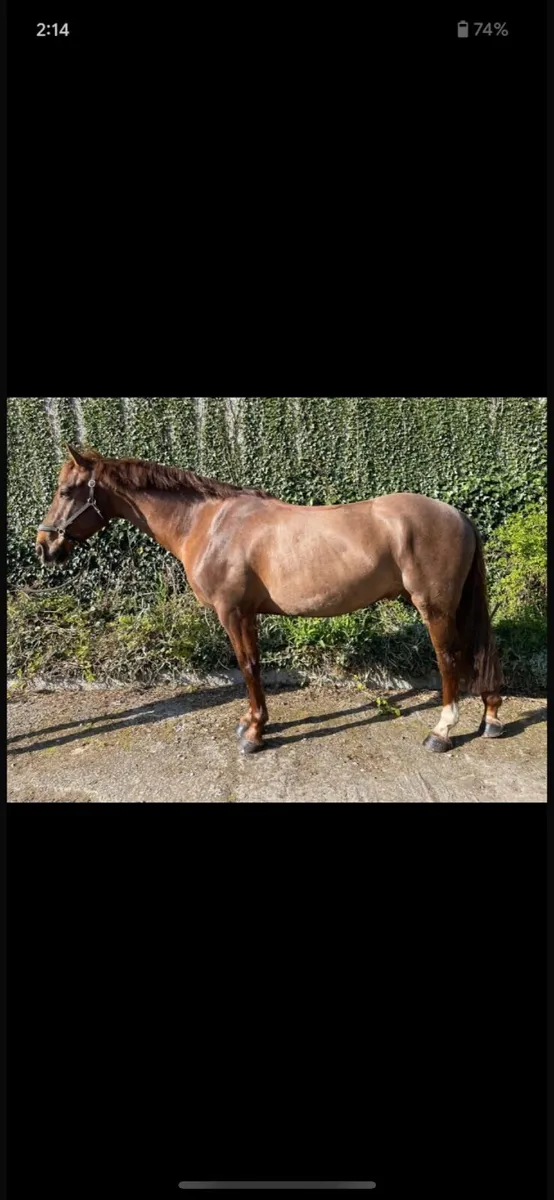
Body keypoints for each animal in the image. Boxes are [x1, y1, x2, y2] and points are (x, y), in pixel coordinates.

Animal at [36, 445, 504, 755]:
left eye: (67, 490)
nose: (45, 546)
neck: (208, 523)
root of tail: (458, 515)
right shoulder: (247, 614)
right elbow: (253, 665)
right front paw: (252, 723)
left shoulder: (234, 612)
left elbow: (249, 667)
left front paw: (255, 733)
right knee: (477, 651)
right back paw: (491, 717)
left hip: (434, 607)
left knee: (450, 659)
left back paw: (442, 732)